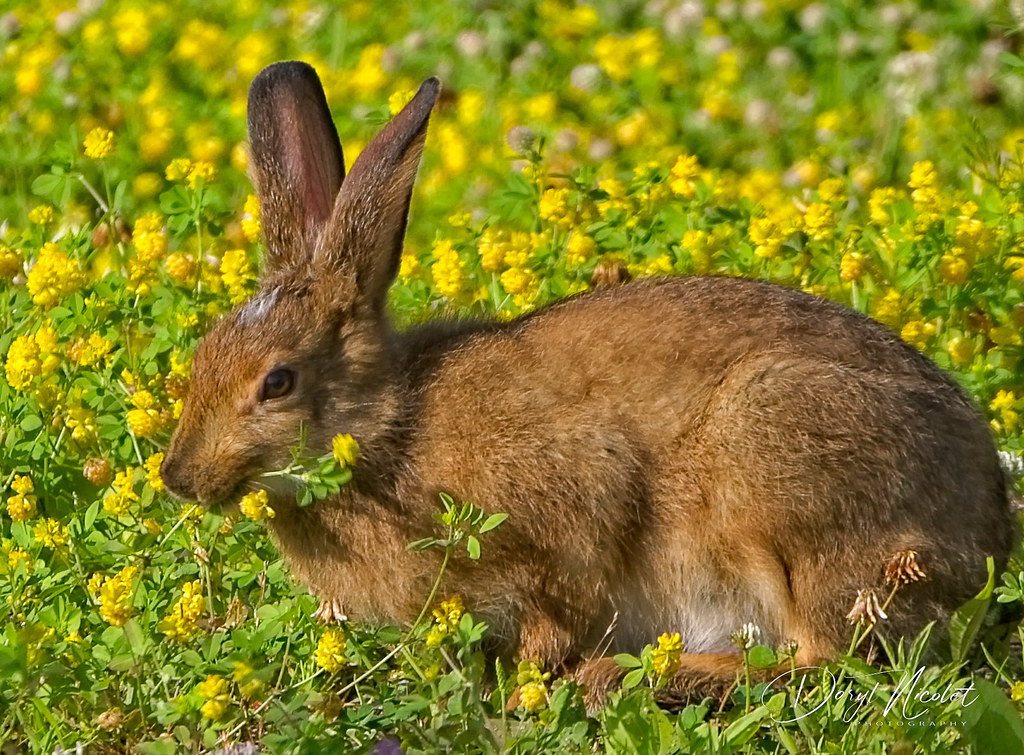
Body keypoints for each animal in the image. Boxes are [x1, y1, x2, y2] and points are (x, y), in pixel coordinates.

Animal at [161, 60, 1016, 706]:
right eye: (202, 357)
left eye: (277, 382)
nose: (178, 477)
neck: (386, 427)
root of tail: (982, 548)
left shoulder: (572, 507)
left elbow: (556, 611)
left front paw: (526, 691)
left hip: (773, 468)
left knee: (822, 658)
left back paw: (627, 676)